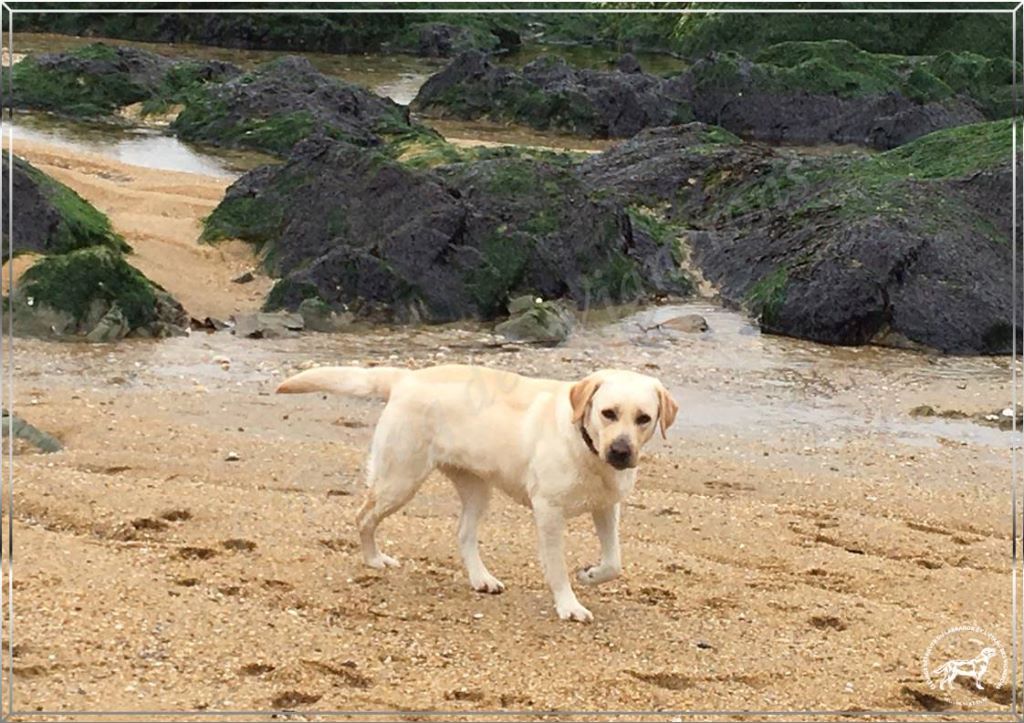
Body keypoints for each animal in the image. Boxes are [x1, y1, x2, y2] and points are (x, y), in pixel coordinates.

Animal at [278, 362, 679, 622]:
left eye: (643, 418)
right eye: (608, 413)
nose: (621, 452)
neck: (588, 449)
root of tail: (407, 377)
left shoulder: (607, 507)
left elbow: (614, 562)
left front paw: (592, 575)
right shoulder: (548, 512)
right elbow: (557, 567)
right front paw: (569, 605)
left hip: (476, 489)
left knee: (463, 534)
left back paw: (480, 578)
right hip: (400, 479)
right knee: (363, 515)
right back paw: (374, 559)